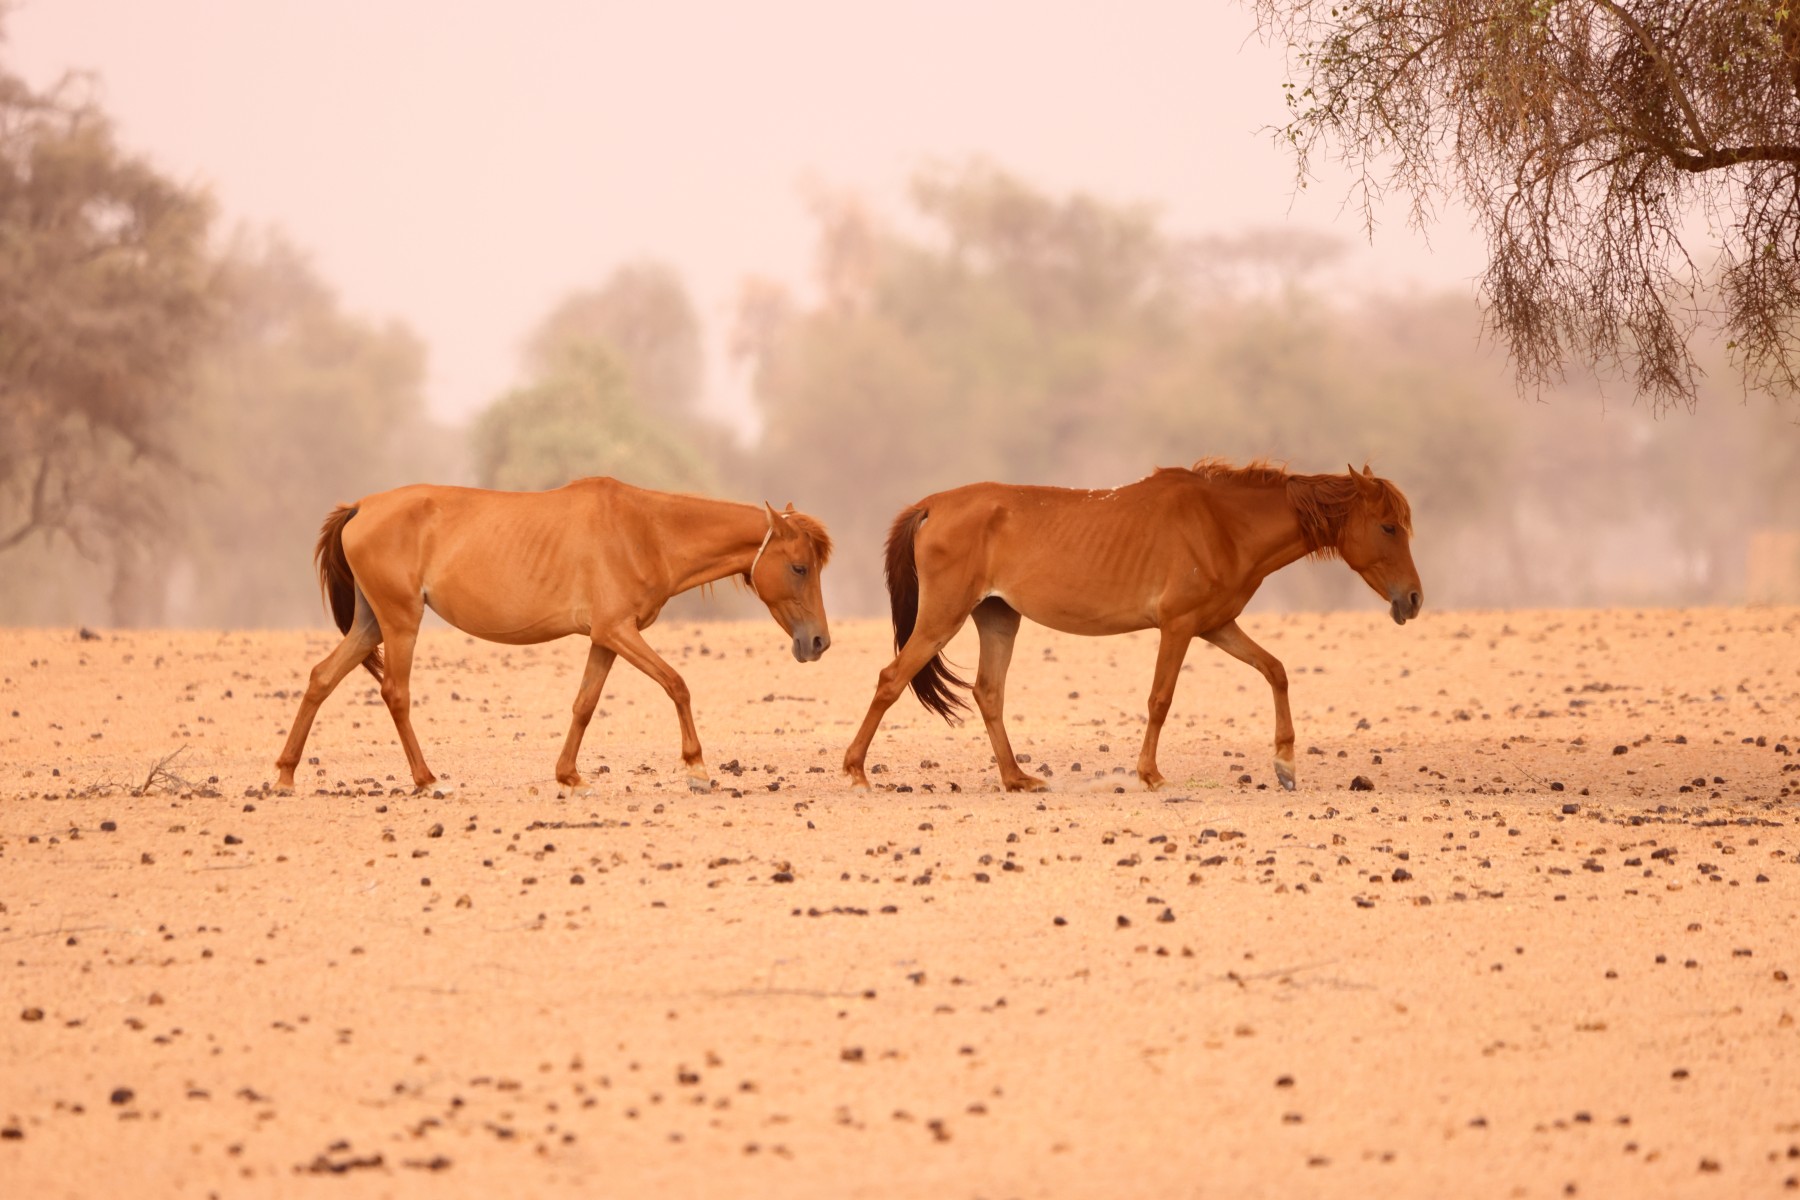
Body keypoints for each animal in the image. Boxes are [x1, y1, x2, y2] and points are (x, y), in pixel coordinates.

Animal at [274, 477, 832, 793]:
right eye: (800, 567)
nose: (818, 643)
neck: (645, 531)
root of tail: (360, 507)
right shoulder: (618, 631)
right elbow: (677, 684)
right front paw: (696, 769)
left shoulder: (606, 638)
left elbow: (584, 705)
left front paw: (570, 776)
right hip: (400, 622)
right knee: (395, 693)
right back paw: (426, 780)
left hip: (371, 624)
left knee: (321, 678)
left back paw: (284, 774)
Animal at [843, 460, 1421, 793]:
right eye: (1388, 526)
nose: (1413, 599)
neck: (1223, 523)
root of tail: (932, 505)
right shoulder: (1179, 627)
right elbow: (1160, 699)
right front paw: (1150, 773)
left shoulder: (1218, 626)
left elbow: (1275, 670)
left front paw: (1285, 765)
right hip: (944, 618)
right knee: (892, 679)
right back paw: (856, 771)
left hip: (998, 618)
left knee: (988, 693)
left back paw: (1016, 778)